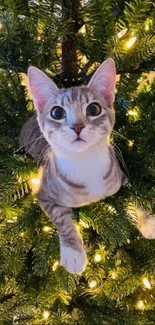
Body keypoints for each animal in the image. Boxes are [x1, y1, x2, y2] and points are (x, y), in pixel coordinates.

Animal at [19, 58, 128, 274]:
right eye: (57, 112)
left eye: (93, 109)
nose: (77, 126)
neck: (85, 162)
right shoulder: (42, 191)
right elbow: (61, 219)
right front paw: (73, 252)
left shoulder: (121, 177)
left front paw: (148, 222)